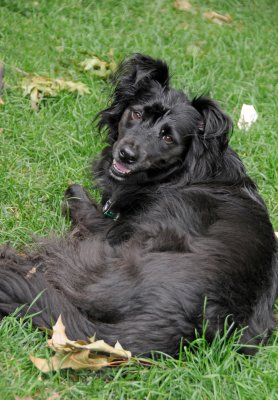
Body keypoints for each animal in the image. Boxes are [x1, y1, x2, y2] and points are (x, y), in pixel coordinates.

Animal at [1, 54, 276, 356]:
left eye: (168, 137)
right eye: (137, 114)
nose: (126, 154)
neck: (189, 171)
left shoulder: (109, 226)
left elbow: (79, 199)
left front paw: (78, 195)